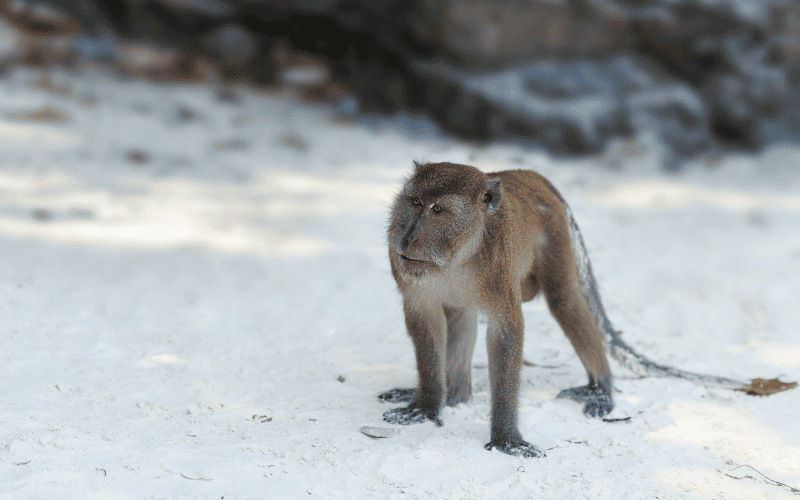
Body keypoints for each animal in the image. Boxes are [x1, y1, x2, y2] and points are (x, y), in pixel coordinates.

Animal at [378, 162, 748, 458]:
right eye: (414, 203)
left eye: (438, 210)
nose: (409, 237)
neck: (457, 257)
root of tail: (528, 174)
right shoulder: (404, 267)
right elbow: (426, 319)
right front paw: (426, 404)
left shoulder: (498, 269)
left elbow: (506, 331)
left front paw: (505, 436)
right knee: (463, 314)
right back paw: (453, 395)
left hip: (553, 231)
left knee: (564, 300)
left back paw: (600, 388)